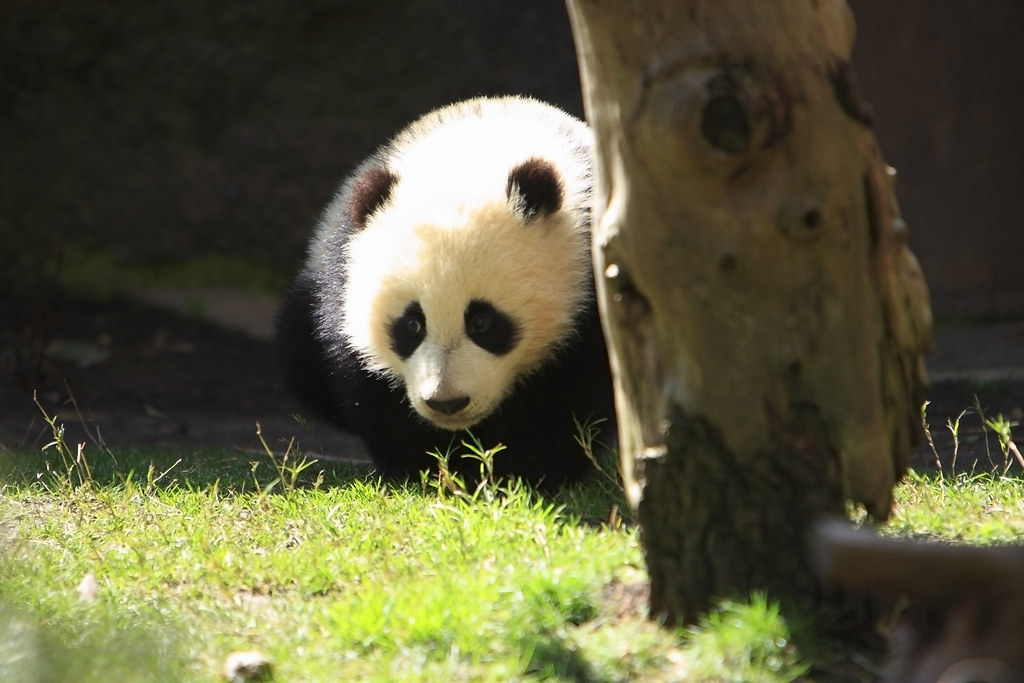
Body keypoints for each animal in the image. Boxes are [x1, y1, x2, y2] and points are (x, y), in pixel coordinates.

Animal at [274, 95, 615, 487]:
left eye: (482, 321)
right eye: (412, 324)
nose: (447, 402)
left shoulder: (589, 277)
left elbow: (571, 393)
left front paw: (529, 470)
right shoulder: (343, 274)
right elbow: (368, 384)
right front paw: (425, 464)